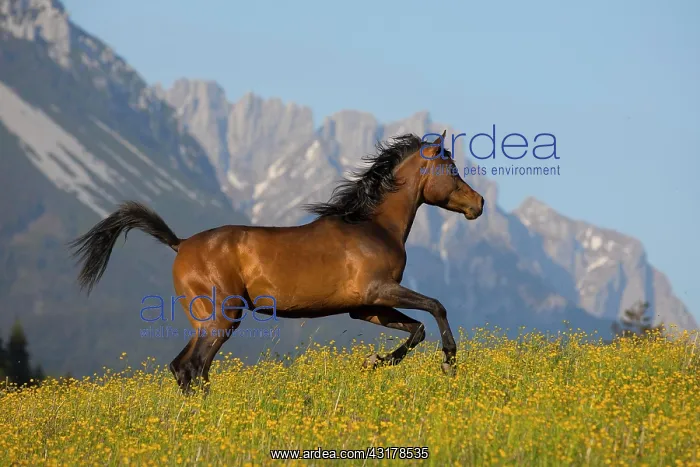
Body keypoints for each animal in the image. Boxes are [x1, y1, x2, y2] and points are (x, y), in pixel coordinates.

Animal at [69, 131, 484, 394]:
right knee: (192, 367)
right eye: (452, 170)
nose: (478, 204)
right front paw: (448, 361)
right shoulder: (381, 291)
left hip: (209, 319)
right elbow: (436, 307)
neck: (372, 226)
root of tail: (181, 244)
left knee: (185, 368)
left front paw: (375, 361)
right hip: (221, 317)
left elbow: (417, 330)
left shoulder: (367, 306)